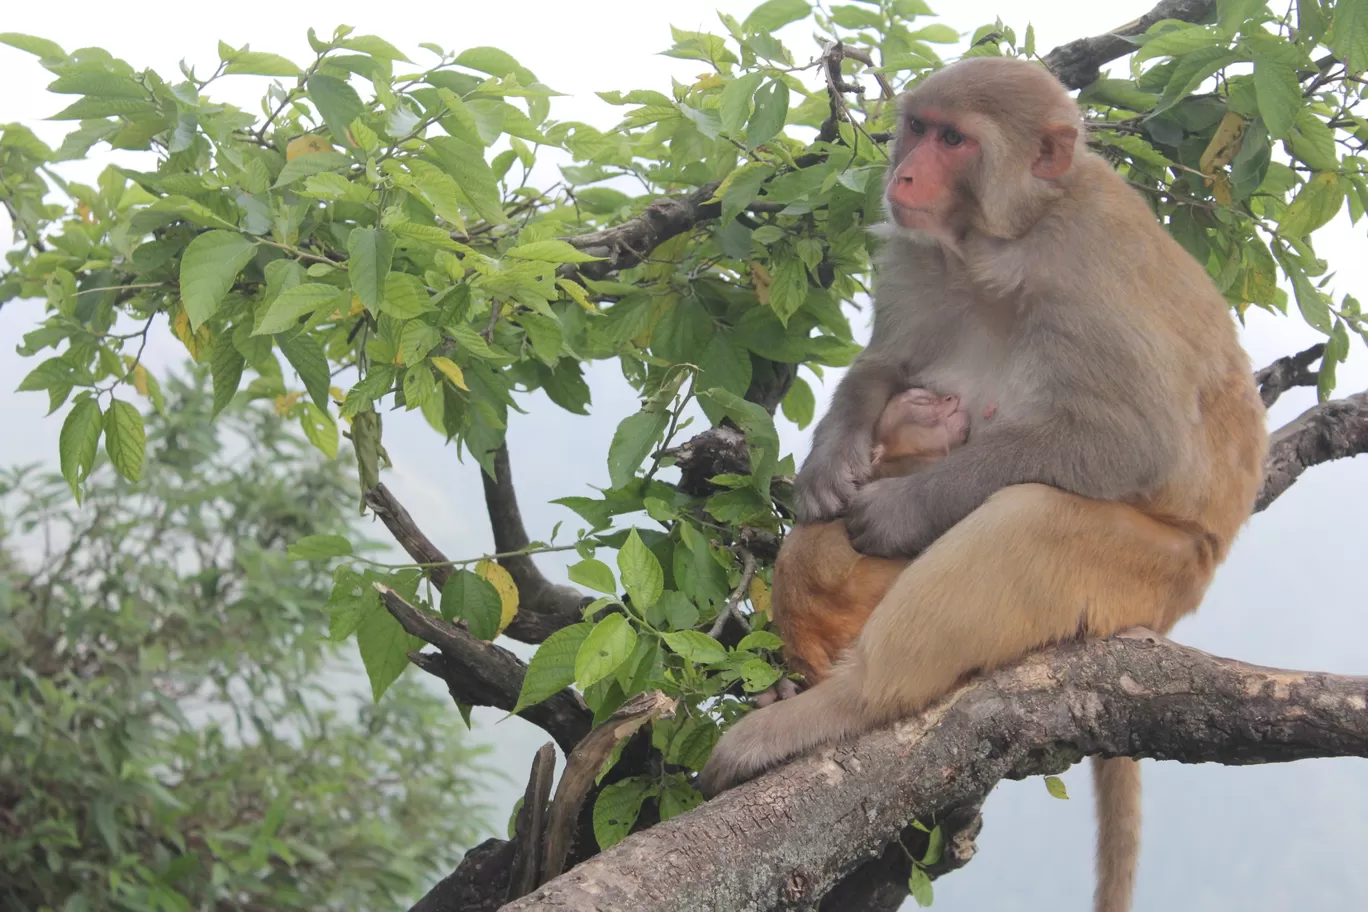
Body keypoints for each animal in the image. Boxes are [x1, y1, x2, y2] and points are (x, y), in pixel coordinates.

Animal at [700, 55, 1264, 912]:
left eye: (955, 140)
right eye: (919, 127)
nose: (902, 172)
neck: (997, 245)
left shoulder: (1085, 266)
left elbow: (1133, 443)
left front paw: (899, 510)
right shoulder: (916, 255)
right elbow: (889, 362)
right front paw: (831, 464)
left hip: (1152, 575)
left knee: (1030, 516)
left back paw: (840, 705)